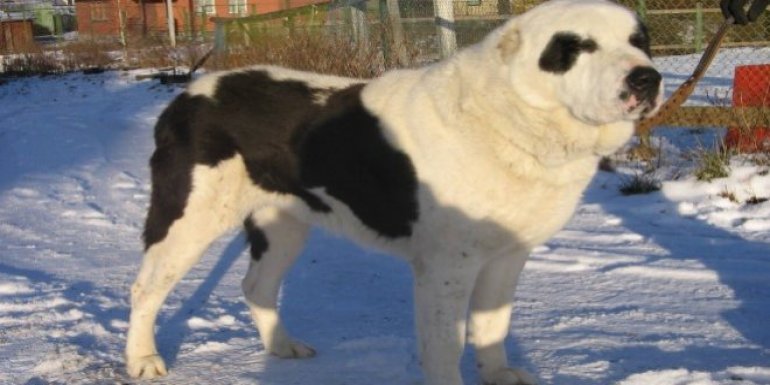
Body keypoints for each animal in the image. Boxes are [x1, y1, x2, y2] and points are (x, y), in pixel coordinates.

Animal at [124, 1, 660, 382]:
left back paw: (282, 348)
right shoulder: (446, 267)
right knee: (145, 288)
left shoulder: (508, 255)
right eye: (576, 47)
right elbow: (447, 345)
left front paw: (499, 376)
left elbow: (492, 326)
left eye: (639, 41)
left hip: (284, 225)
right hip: (188, 218)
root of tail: (187, 95)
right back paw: (143, 360)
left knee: (256, 285)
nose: (647, 77)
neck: (510, 116)